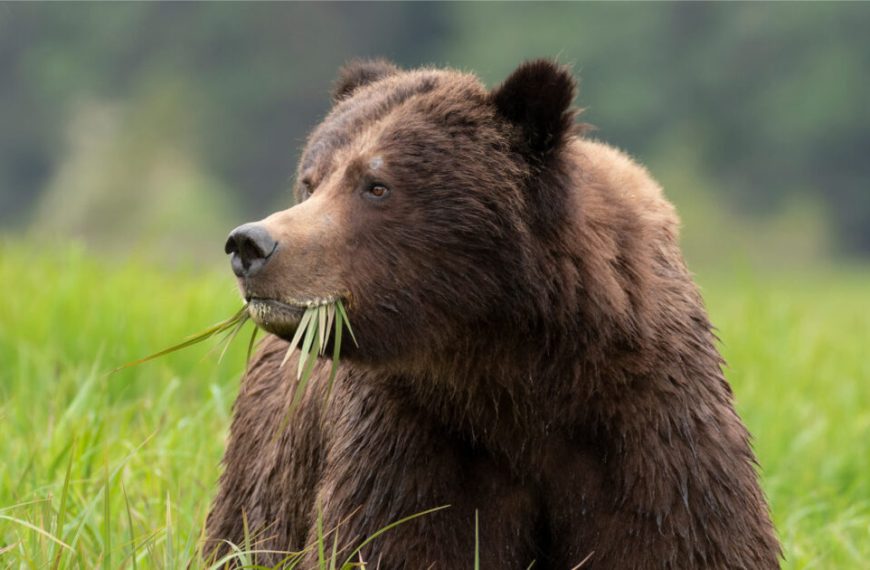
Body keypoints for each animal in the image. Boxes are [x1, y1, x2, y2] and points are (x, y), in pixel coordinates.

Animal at [205, 59, 781, 569]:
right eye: (310, 180)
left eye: (376, 184)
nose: (251, 244)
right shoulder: (420, 437)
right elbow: (396, 541)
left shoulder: (646, 426)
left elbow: (682, 540)